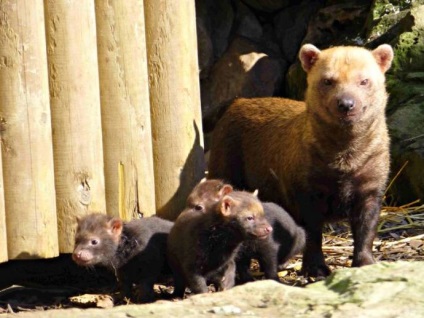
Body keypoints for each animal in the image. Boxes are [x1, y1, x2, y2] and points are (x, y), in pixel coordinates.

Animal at [209, 43, 394, 278]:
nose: (346, 104)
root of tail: (236, 103)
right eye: (328, 80)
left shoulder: (371, 183)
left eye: (364, 80)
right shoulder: (305, 187)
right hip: (226, 163)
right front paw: (316, 268)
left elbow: (366, 228)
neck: (344, 161)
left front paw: (365, 263)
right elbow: (312, 231)